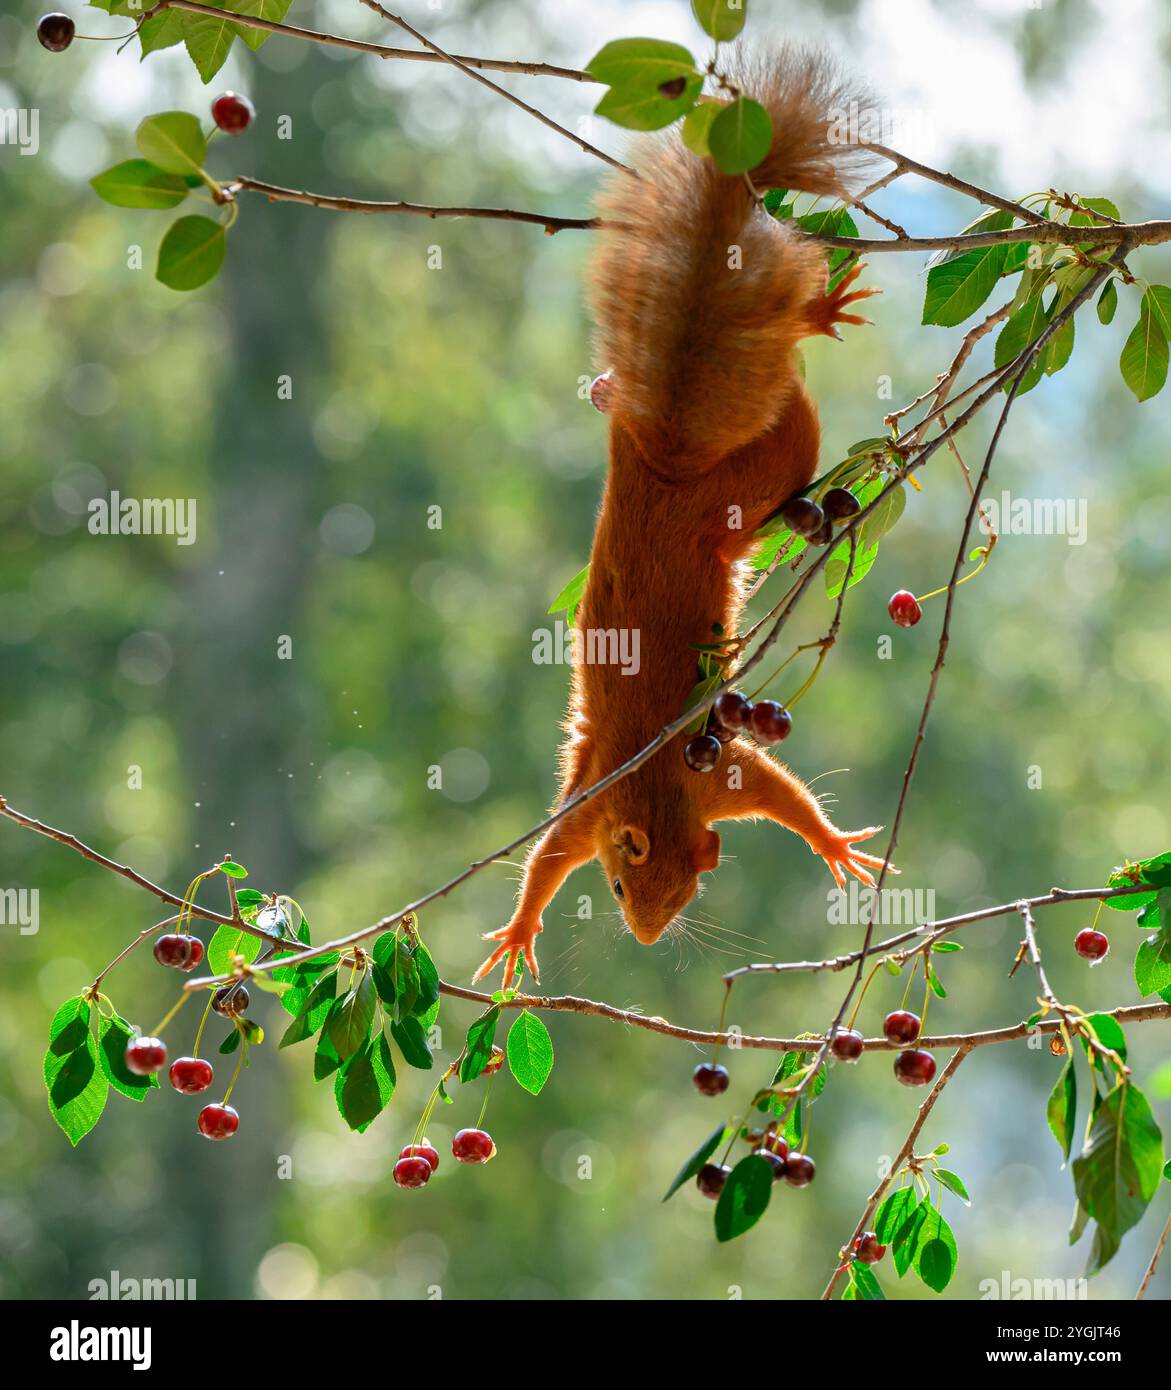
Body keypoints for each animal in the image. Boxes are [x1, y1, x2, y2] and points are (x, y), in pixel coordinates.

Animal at [475, 51, 884, 989]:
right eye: (623, 891)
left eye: (686, 891)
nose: (647, 938)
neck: (658, 794)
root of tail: (659, 459)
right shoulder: (601, 809)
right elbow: (550, 860)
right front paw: (519, 932)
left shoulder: (711, 774)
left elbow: (782, 796)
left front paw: (834, 845)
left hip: (741, 488)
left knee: (785, 389)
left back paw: (811, 317)